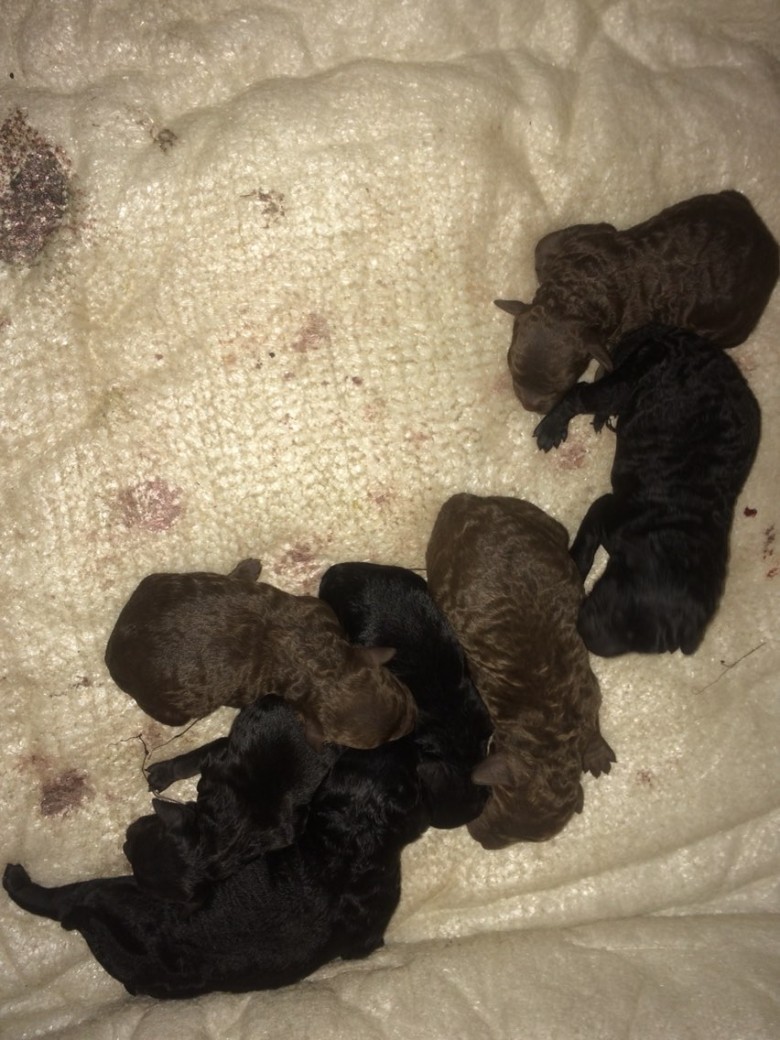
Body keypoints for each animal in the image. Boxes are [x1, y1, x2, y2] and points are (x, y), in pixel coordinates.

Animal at [104, 558, 417, 749]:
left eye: (401, 694)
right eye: (381, 743)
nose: (413, 721)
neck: (316, 664)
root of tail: (112, 653)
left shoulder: (317, 609)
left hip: (160, 582)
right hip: (171, 708)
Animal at [125, 696, 340, 906]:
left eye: (145, 827)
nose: (124, 845)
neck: (214, 840)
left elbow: (192, 759)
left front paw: (164, 772)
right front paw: (164, 773)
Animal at [425, 493, 615, 850]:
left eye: (521, 840)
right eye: (492, 799)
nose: (482, 842)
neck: (548, 736)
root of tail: (465, 502)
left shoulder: (587, 695)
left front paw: (596, 752)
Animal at [496, 190, 779, 412]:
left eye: (564, 384)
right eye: (512, 365)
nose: (531, 406)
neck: (577, 293)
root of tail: (767, 241)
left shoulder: (624, 328)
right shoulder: (583, 237)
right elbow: (542, 246)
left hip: (727, 327)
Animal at [534, 323, 761, 656]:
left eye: (639, 646)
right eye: (618, 609)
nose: (589, 642)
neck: (678, 533)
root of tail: (675, 333)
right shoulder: (606, 508)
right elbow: (585, 548)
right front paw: (571, 570)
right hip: (622, 384)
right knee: (581, 393)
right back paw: (552, 427)